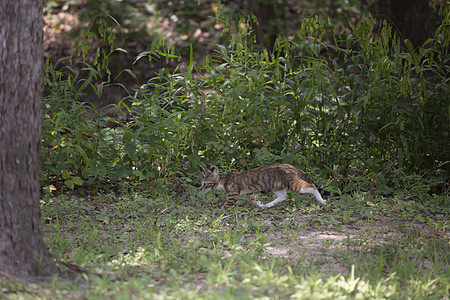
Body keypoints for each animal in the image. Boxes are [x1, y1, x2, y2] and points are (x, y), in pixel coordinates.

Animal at [199, 164, 328, 209]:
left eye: (205, 184)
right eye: (201, 183)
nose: (199, 189)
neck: (224, 180)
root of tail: (290, 165)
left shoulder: (233, 195)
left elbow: (226, 204)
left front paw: (219, 211)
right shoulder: (250, 193)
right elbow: (254, 201)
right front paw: (261, 205)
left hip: (294, 185)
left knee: (312, 186)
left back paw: (321, 201)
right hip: (277, 187)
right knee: (283, 196)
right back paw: (268, 205)